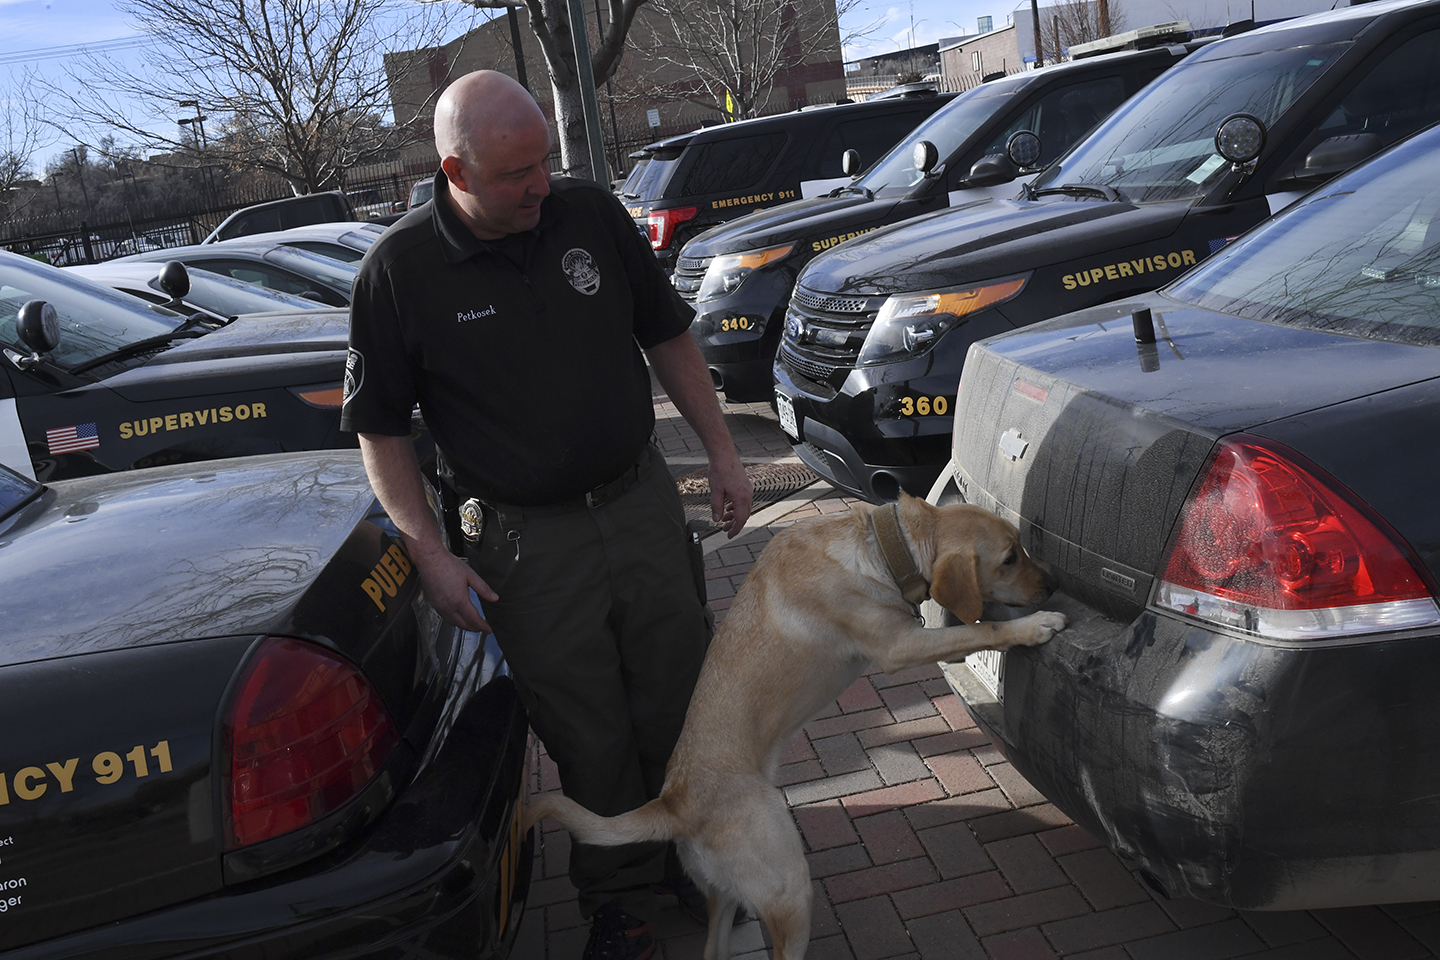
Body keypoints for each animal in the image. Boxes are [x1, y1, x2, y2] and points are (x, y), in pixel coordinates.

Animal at [527, 495, 1059, 960]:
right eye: (1010, 557)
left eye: (1022, 547)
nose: (1054, 584)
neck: (882, 549)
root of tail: (672, 803)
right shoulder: (899, 647)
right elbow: (982, 628)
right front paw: (1035, 626)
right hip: (789, 890)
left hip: (727, 893)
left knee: (714, 950)